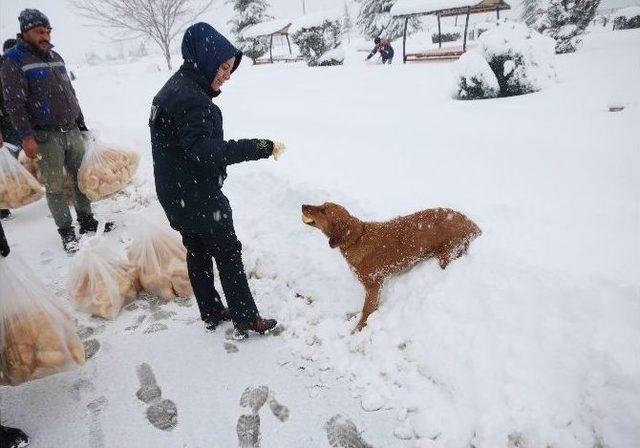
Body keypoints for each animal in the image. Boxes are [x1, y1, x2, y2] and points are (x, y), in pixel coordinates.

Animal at [300, 202, 480, 328]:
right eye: (321, 205)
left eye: (323, 210)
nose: (303, 205)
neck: (357, 238)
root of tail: (471, 223)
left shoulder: (373, 285)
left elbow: (367, 310)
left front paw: (358, 329)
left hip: (446, 254)